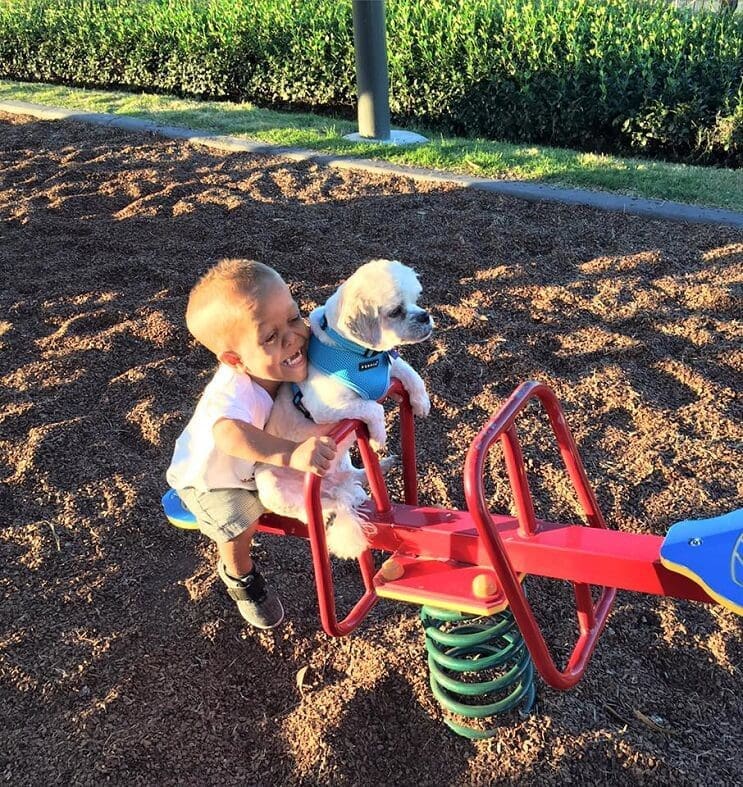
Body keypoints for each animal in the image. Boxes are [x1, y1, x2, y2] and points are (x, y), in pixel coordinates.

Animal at [254, 260, 434, 560]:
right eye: (396, 311)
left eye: (417, 299)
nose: (424, 316)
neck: (360, 356)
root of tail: (332, 489)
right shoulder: (325, 406)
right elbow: (373, 408)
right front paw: (379, 437)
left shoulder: (389, 368)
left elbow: (410, 372)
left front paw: (421, 402)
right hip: (275, 489)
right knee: (309, 511)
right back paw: (328, 511)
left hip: (343, 462)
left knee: (354, 477)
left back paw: (379, 469)